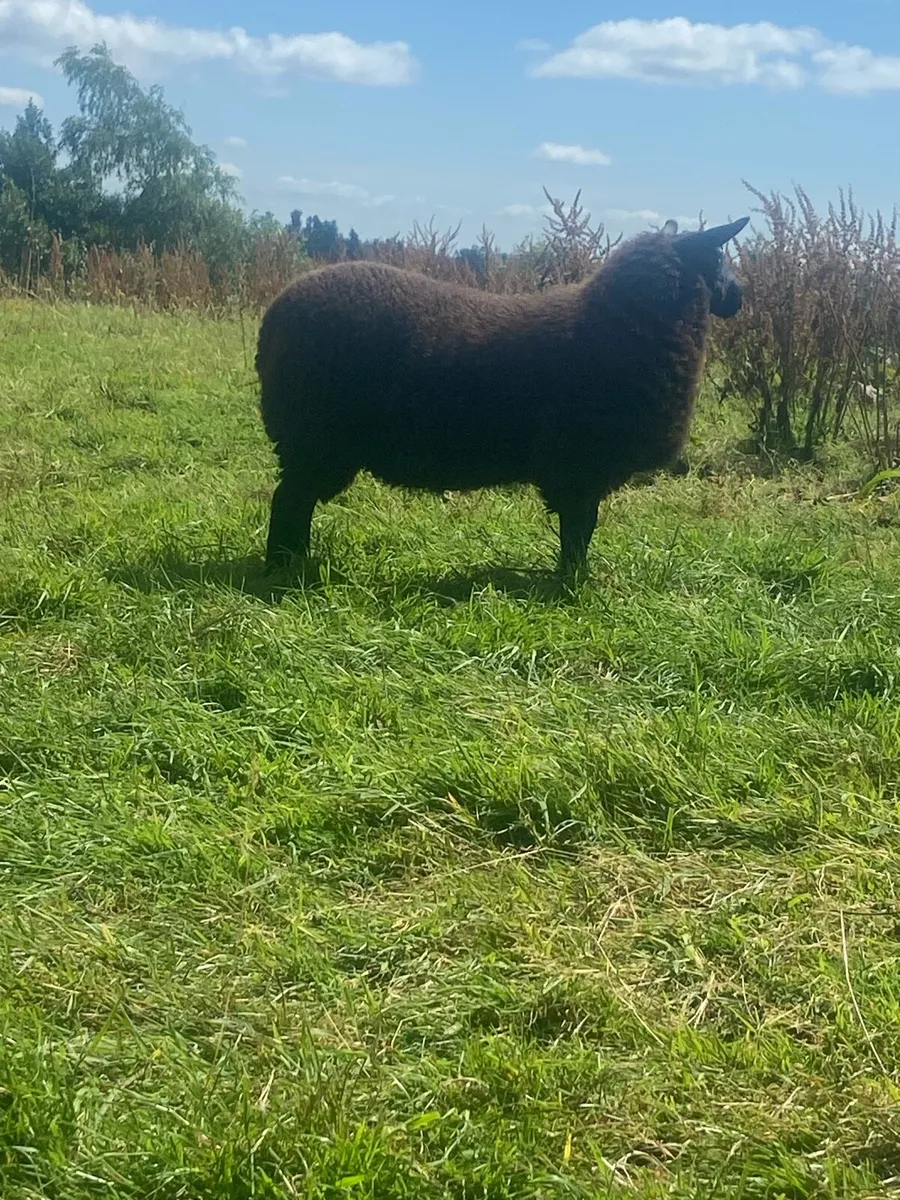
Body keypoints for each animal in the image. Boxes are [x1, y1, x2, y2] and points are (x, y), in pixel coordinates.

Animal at [255, 214, 749, 575]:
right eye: (719, 256)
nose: (741, 297)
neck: (622, 326)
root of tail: (275, 314)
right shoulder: (579, 466)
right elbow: (579, 529)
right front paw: (574, 582)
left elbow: (579, 529)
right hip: (316, 439)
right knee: (290, 502)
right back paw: (286, 569)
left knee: (293, 501)